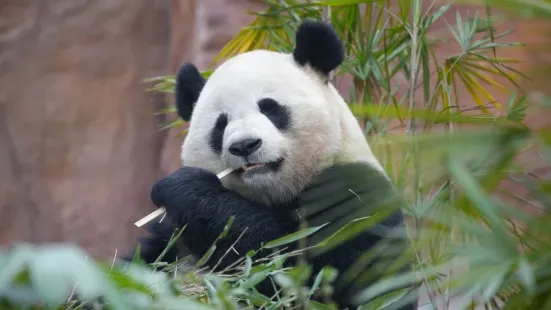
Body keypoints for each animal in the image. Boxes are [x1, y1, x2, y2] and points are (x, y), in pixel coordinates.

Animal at [126, 19, 418, 310]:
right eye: (221, 124)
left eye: (269, 108)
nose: (245, 145)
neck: (275, 194)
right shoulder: (168, 237)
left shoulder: (357, 192)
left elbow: (313, 270)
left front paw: (183, 188)